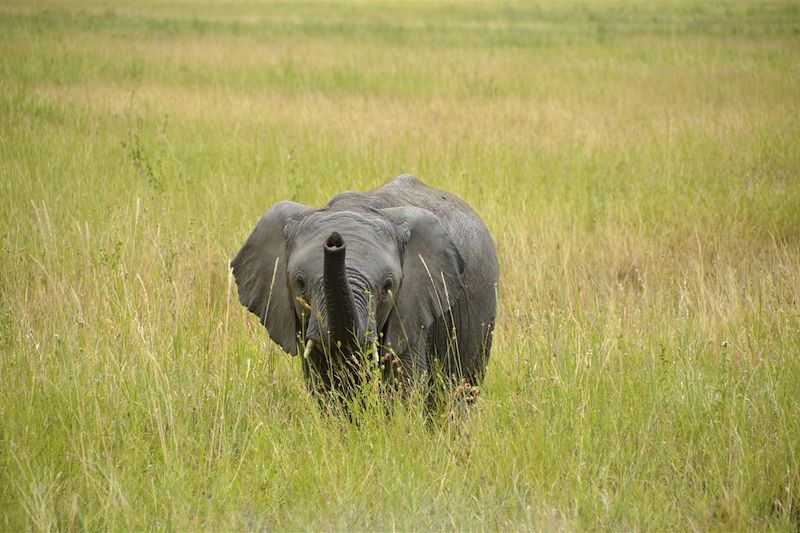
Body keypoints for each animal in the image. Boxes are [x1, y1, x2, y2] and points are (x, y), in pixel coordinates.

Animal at [228, 175, 496, 400]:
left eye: (388, 286)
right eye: (300, 284)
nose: (335, 241)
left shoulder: (413, 306)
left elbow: (402, 386)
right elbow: (327, 388)